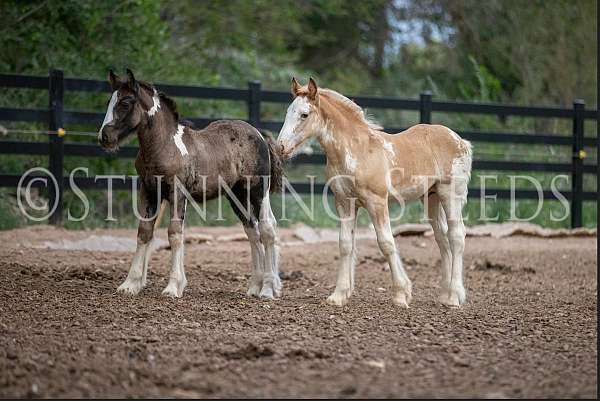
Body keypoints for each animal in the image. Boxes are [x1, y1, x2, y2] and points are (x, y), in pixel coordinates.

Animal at [98, 70, 284, 298]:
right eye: (109, 101)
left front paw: (173, 287)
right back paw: (254, 287)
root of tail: (259, 135)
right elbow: (144, 231)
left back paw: (267, 289)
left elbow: (175, 234)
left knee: (267, 229)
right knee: (252, 231)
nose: (104, 137)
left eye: (125, 102)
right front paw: (130, 284)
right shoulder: (148, 191)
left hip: (257, 191)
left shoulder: (177, 192)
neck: (165, 145)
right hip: (236, 196)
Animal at [278, 78, 472, 306]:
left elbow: (386, 242)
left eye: (304, 115)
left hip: (451, 193)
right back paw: (444, 294)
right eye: (288, 111)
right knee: (442, 238)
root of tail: (460, 140)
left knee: (456, 236)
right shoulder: (344, 202)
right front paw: (338, 295)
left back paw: (454, 297)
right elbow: (345, 244)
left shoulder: (377, 202)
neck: (355, 150)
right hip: (430, 197)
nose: (280, 147)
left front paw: (401, 294)